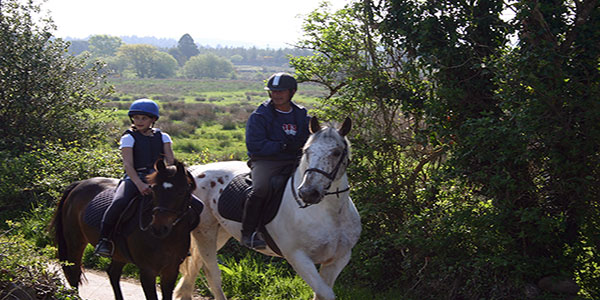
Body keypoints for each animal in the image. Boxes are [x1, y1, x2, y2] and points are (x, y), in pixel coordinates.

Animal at [50, 159, 200, 300]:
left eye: (181, 192)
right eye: (155, 190)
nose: (158, 228)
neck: (167, 239)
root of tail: (79, 184)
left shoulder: (171, 271)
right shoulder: (147, 272)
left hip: (119, 253)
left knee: (113, 273)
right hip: (75, 242)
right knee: (74, 271)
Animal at [173, 116, 360, 300]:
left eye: (336, 152)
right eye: (307, 151)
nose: (308, 193)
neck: (330, 214)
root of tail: (196, 171)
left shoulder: (338, 259)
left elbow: (322, 293)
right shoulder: (299, 258)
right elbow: (326, 293)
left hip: (221, 233)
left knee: (198, 266)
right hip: (205, 233)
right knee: (212, 273)